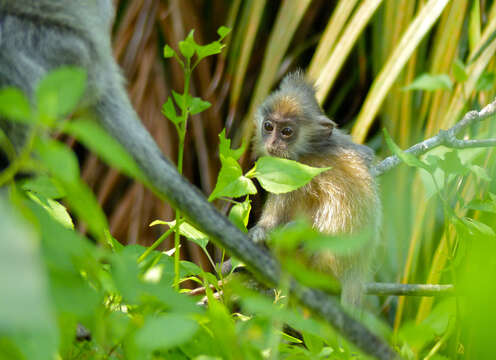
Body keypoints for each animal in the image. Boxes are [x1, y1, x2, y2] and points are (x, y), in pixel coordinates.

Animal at [252, 71, 380, 306]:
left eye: (286, 132)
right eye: (268, 126)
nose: (273, 143)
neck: (311, 148)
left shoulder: (293, 172)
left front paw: (259, 233)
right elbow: (366, 154)